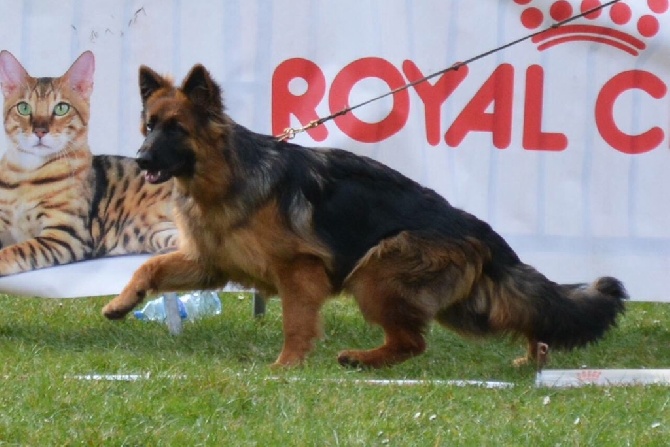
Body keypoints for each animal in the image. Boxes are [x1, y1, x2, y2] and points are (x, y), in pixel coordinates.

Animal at [101, 65, 632, 370]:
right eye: (149, 127)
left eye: (176, 129)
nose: (141, 159)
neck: (227, 175)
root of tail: (476, 226)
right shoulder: (210, 263)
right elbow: (150, 266)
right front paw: (122, 303)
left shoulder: (298, 272)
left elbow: (296, 322)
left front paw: (285, 367)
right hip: (462, 306)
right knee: (517, 314)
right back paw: (532, 357)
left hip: (376, 273)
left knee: (414, 342)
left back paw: (363, 358)